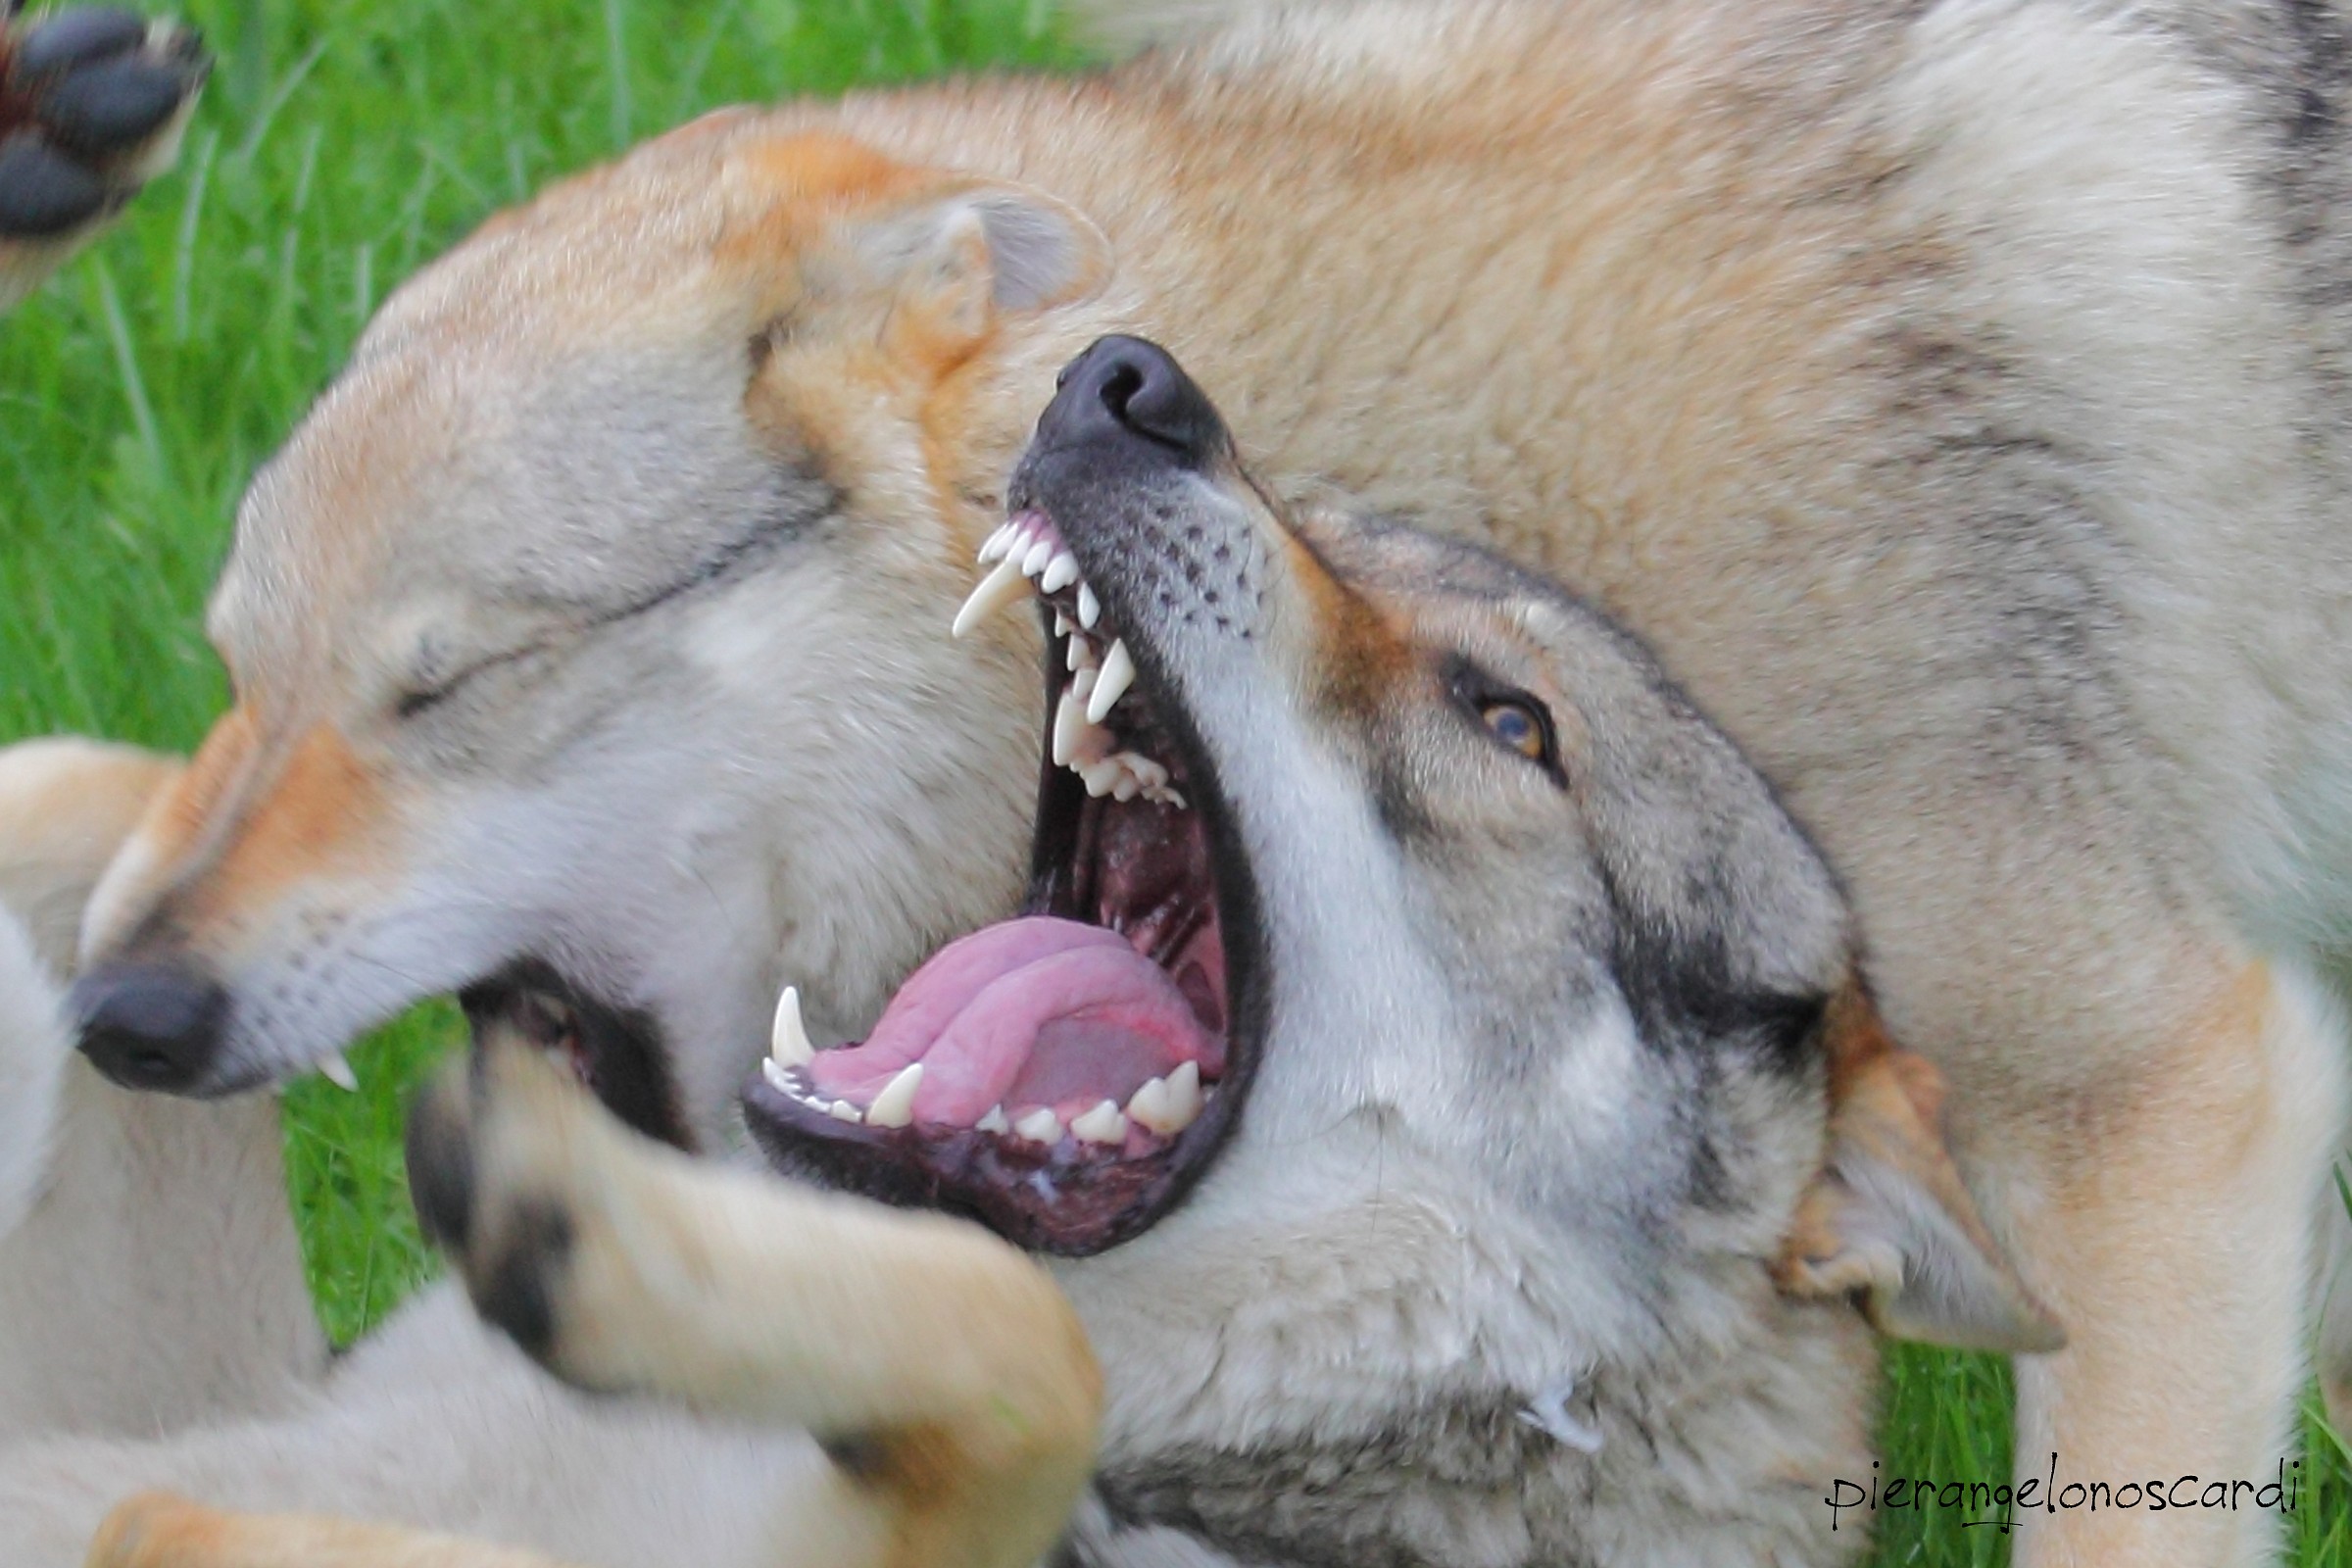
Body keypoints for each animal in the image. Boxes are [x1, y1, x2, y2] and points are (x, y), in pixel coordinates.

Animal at [63, 337, 2052, 1568]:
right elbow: (78, 781)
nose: (1131, 380)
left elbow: (1023, 1352)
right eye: (1336, 539)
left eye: (1508, 721)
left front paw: (585, 1229)